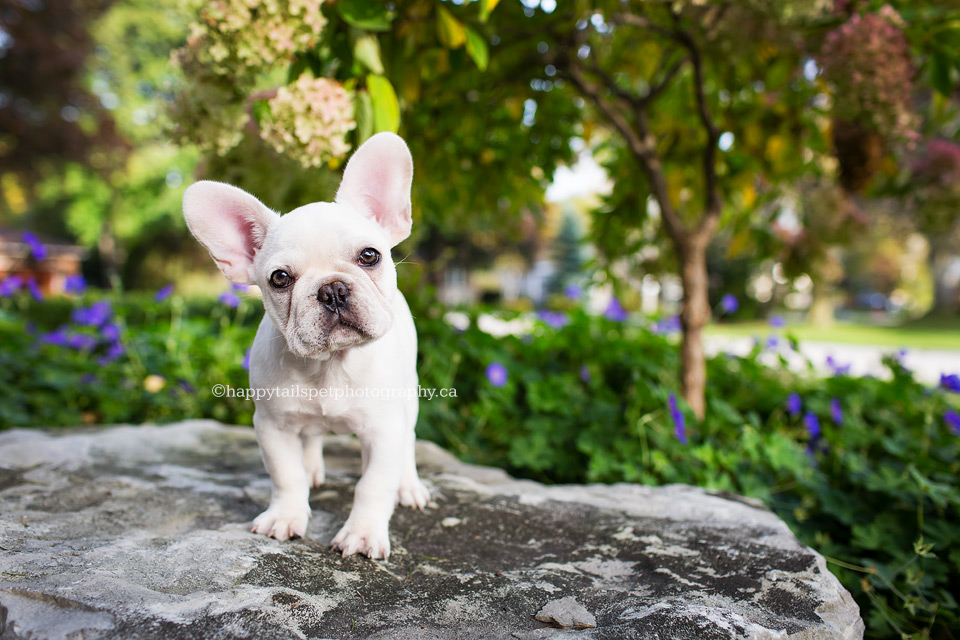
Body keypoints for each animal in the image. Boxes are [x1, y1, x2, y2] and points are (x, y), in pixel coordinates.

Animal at [183, 132, 428, 556]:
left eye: (369, 255)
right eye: (280, 278)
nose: (331, 290)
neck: (330, 364)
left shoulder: (384, 430)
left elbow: (373, 485)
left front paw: (363, 532)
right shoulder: (272, 426)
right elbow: (286, 475)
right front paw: (285, 515)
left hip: (408, 397)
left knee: (409, 439)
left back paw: (409, 485)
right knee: (312, 435)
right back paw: (312, 465)